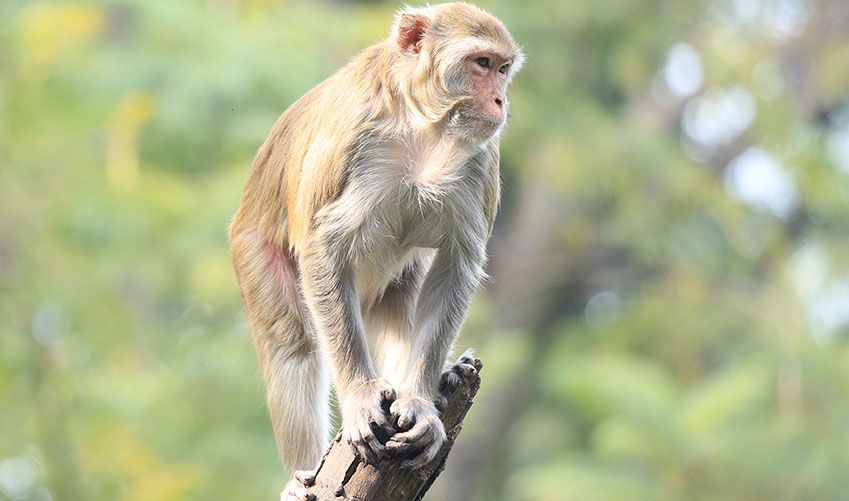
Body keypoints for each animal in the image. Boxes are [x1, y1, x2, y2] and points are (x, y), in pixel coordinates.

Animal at [228, 3, 523, 497]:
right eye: (481, 63)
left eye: (503, 69)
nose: (500, 101)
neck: (423, 123)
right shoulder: (353, 132)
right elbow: (322, 248)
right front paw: (361, 397)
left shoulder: (481, 161)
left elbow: (456, 266)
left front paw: (420, 401)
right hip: (253, 248)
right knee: (292, 342)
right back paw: (300, 477)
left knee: (396, 305)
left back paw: (442, 374)